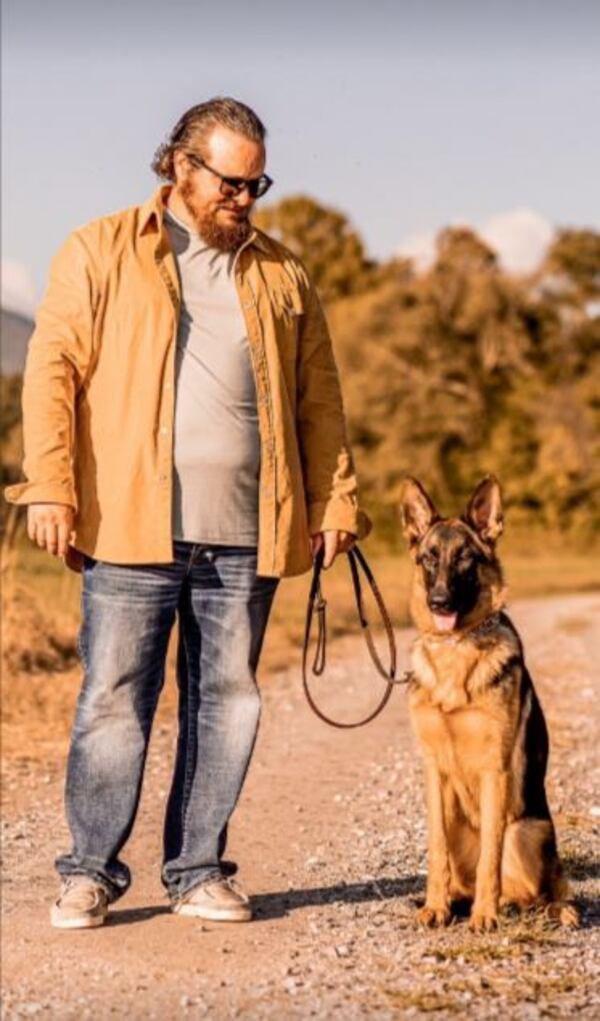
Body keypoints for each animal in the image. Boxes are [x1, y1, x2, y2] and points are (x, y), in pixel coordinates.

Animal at [400, 473, 579, 931]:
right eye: (428, 559)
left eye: (465, 558)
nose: (439, 602)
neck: (455, 649)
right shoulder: (432, 770)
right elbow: (436, 851)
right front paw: (436, 906)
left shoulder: (494, 770)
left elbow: (490, 860)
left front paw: (484, 915)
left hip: (528, 831)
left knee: (545, 889)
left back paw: (554, 909)